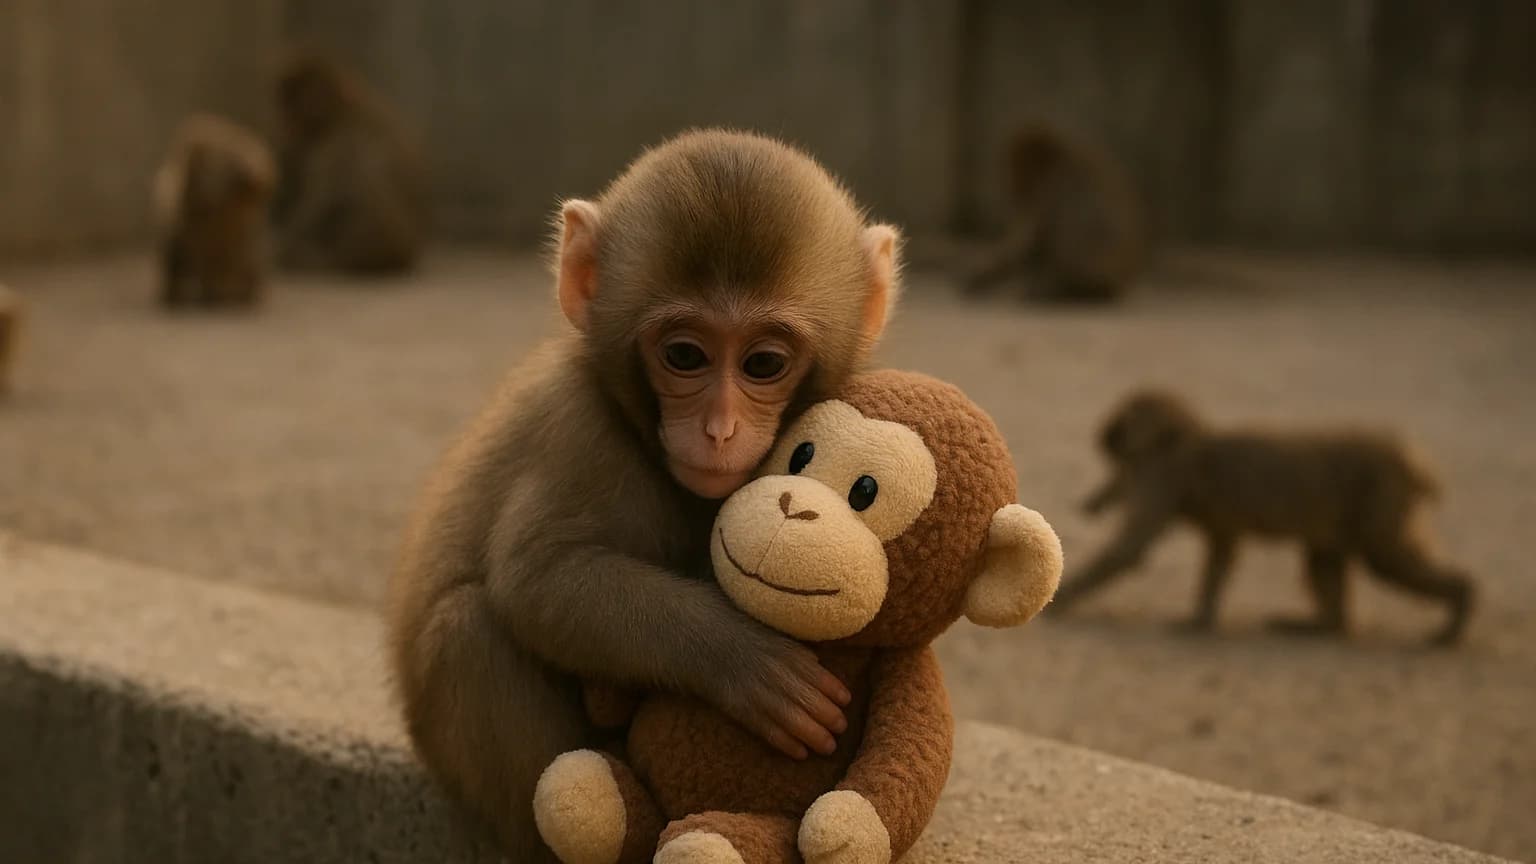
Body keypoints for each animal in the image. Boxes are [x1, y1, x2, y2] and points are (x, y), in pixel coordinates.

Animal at [273, 51, 425, 274]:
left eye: (298, 112)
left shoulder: (335, 147)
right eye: (284, 108)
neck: (345, 111)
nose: (286, 128)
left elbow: (319, 202)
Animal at [386, 128, 902, 861]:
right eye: (684, 355)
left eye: (763, 363)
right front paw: (745, 659)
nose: (719, 429)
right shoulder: (578, 426)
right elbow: (538, 577)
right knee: (466, 630)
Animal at [1050, 390, 1475, 645]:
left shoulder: (1164, 474)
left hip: (1381, 499)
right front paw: (1201, 616)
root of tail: (1415, 460)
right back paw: (1323, 625)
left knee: (1386, 559)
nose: (1105, 433)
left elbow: (1129, 551)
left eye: (1122, 424)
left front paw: (1063, 597)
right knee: (1323, 559)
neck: (1183, 439)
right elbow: (1221, 552)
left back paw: (1459, 607)